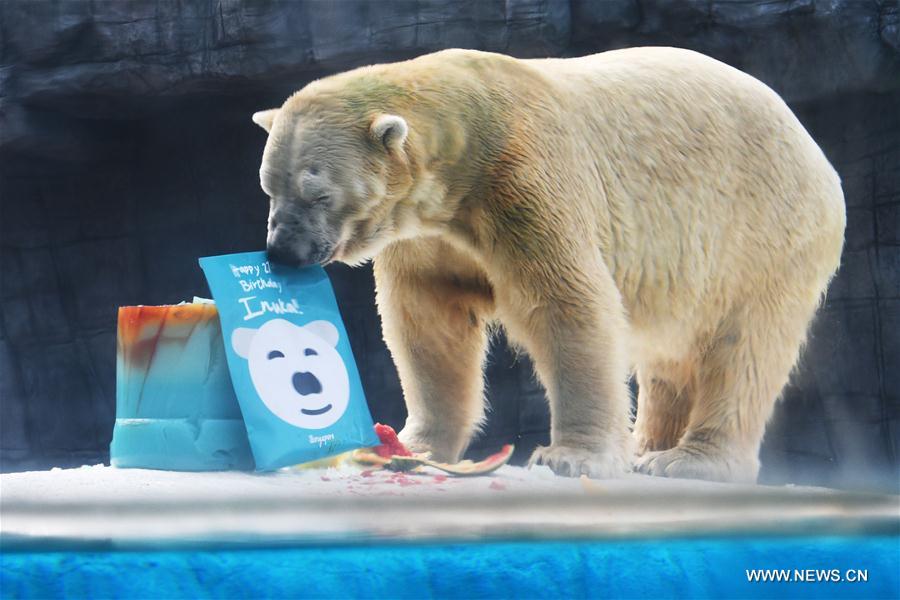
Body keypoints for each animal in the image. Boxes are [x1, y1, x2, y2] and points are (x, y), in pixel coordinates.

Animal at [250, 47, 846, 482]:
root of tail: (812, 145)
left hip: (763, 230)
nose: (282, 251)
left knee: (743, 346)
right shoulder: (428, 235)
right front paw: (411, 446)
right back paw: (648, 448)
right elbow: (429, 325)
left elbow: (568, 304)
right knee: (672, 354)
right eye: (269, 186)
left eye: (318, 193)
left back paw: (688, 461)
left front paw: (573, 456)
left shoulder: (525, 181)